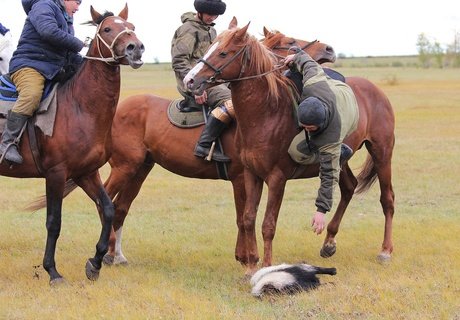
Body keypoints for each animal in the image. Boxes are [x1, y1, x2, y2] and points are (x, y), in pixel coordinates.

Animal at [0, 4, 144, 284]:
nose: (136, 48)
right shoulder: (56, 174)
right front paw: (52, 271)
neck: (79, 105)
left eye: (131, 26)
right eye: (107, 29)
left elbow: (107, 209)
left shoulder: (86, 172)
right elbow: (53, 222)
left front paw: (95, 263)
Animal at [185, 22, 394, 274]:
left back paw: (385, 250)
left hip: (382, 152)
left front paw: (266, 266)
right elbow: (248, 218)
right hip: (340, 161)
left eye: (223, 53)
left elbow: (268, 225)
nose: (190, 80)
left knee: (387, 199)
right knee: (348, 187)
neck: (267, 113)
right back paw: (329, 242)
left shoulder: (277, 178)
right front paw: (251, 266)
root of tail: (375, 90)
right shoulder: (251, 174)